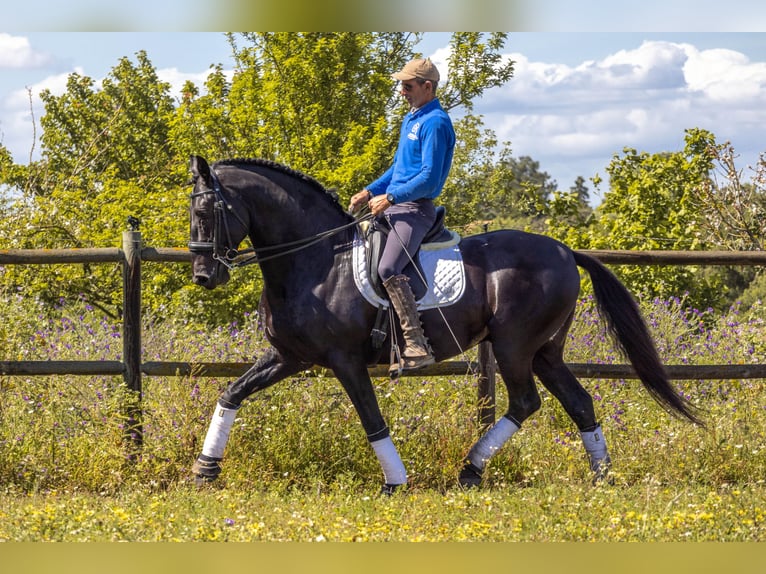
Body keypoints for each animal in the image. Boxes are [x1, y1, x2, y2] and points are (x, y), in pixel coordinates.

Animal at [186, 155, 704, 492]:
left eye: (207, 211)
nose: (204, 276)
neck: (316, 261)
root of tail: (564, 251)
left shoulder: (344, 360)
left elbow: (371, 419)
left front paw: (395, 483)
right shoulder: (289, 356)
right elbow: (231, 393)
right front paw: (205, 470)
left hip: (514, 346)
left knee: (526, 401)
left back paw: (472, 469)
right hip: (544, 351)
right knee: (578, 402)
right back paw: (601, 477)